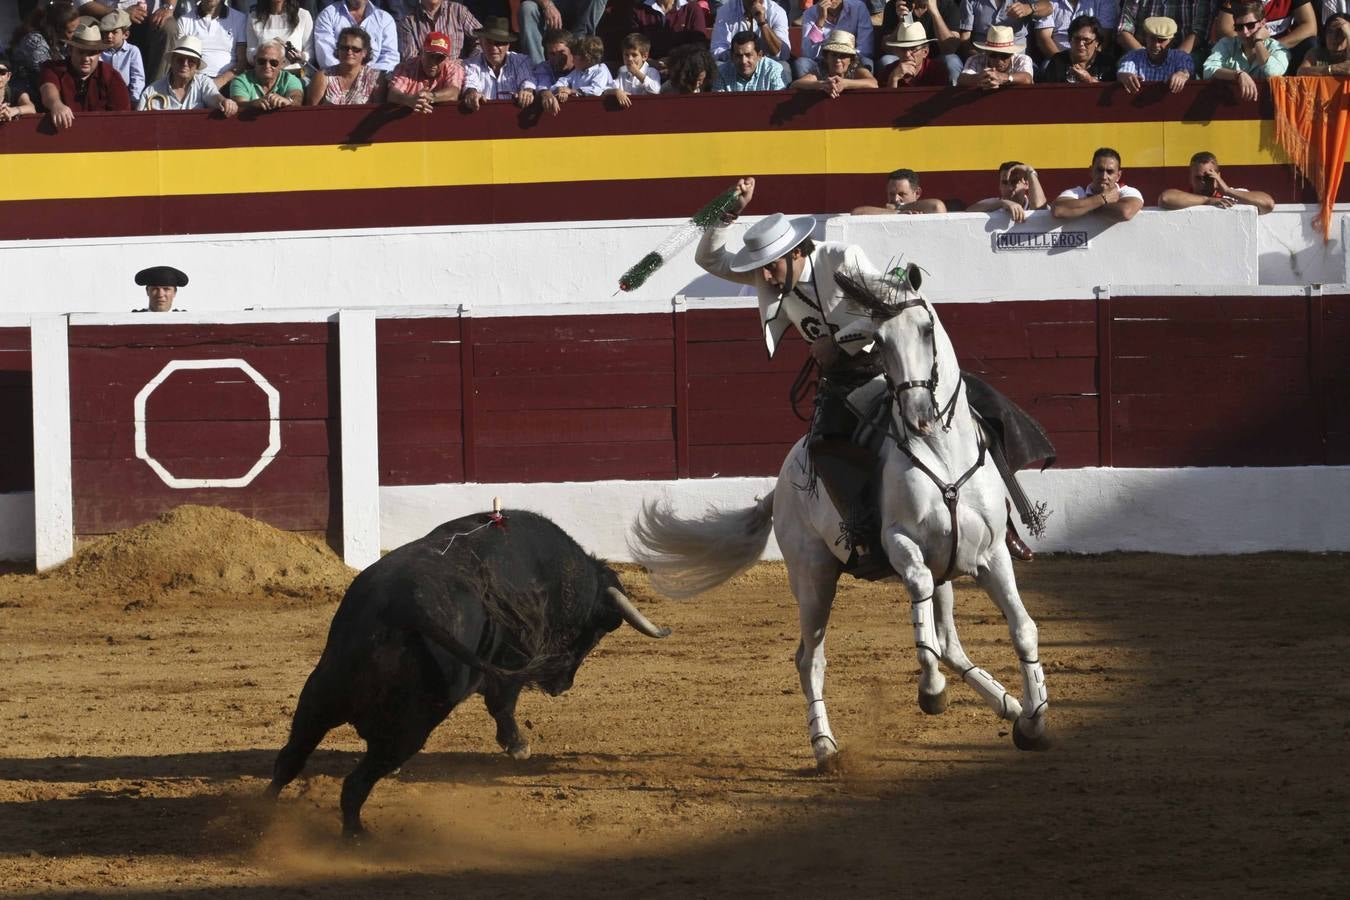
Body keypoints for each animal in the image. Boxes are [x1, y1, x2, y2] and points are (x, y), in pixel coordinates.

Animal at [265, 510, 666, 836]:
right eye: (597, 631)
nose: (562, 686)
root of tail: (405, 603)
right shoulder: (513, 659)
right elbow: (502, 703)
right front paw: (518, 747)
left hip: (320, 696)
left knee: (289, 760)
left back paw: (263, 819)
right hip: (411, 727)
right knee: (354, 783)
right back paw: (356, 835)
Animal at [631, 272, 1053, 766]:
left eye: (926, 330)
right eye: (880, 341)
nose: (919, 417)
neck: (942, 453)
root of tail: (780, 484)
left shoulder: (991, 554)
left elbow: (1023, 629)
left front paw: (1034, 721)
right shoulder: (901, 544)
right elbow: (921, 607)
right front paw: (932, 692)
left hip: (942, 569)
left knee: (948, 640)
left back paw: (1008, 704)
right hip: (813, 577)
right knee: (810, 657)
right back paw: (824, 746)